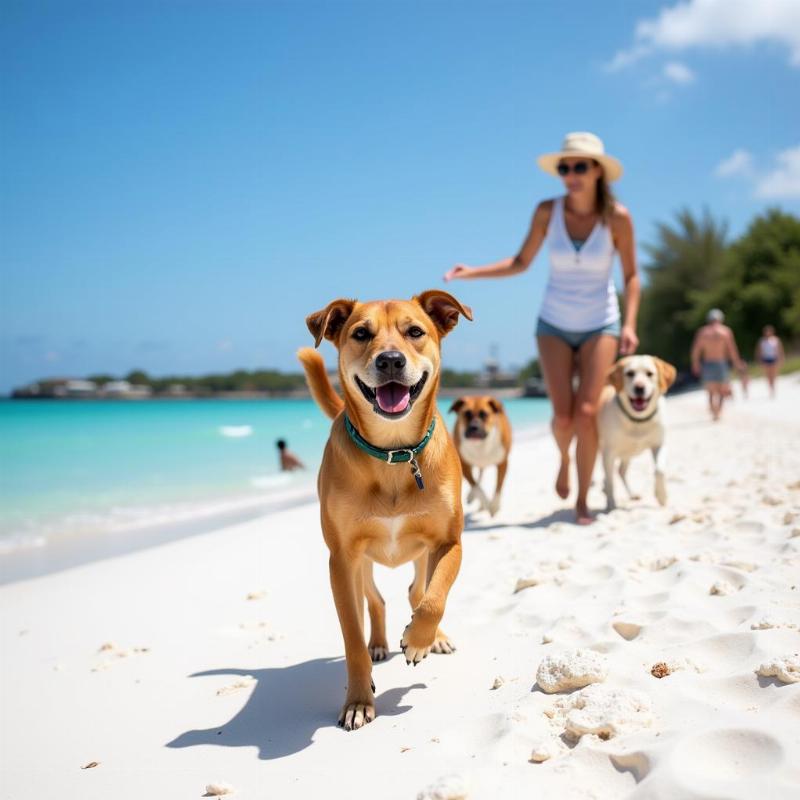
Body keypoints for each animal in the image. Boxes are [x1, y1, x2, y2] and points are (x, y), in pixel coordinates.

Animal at [300, 290, 476, 732]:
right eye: (361, 334)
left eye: (415, 331)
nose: (391, 360)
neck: (395, 453)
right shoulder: (342, 559)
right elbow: (351, 636)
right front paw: (358, 700)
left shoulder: (450, 543)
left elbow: (433, 598)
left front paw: (418, 640)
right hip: (362, 563)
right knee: (375, 601)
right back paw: (378, 644)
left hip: (421, 553)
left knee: (419, 589)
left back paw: (432, 638)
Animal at [600, 354, 676, 510]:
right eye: (630, 373)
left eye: (649, 374)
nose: (639, 387)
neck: (638, 421)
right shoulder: (609, 452)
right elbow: (610, 480)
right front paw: (611, 504)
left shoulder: (659, 444)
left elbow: (659, 470)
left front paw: (662, 496)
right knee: (607, 474)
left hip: (627, 455)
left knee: (621, 471)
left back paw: (632, 494)